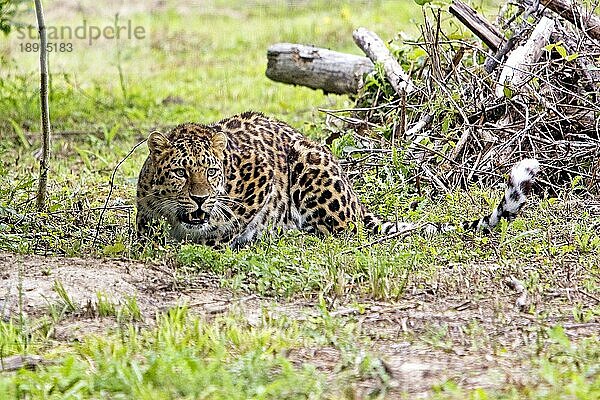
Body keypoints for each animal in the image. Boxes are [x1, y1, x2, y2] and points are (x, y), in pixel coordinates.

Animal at [136, 111, 540, 248]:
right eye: (181, 172)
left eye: (211, 171)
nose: (200, 199)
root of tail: (355, 198)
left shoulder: (262, 175)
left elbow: (234, 221)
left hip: (308, 163)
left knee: (343, 231)